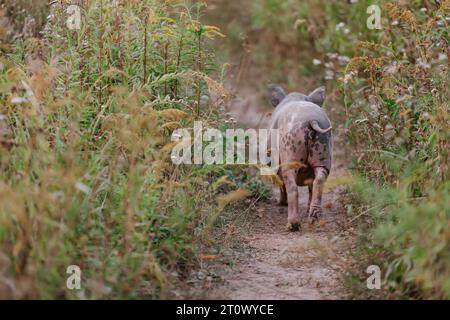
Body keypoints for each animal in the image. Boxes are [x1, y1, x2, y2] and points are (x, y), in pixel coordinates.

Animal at [268, 85, 332, 230]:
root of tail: (312, 121)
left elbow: (282, 185)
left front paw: (281, 203)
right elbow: (310, 187)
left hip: (290, 150)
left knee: (292, 187)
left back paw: (292, 225)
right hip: (324, 153)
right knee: (318, 180)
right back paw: (313, 219)